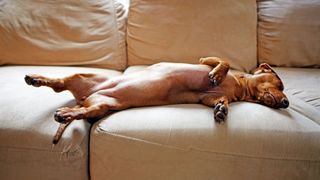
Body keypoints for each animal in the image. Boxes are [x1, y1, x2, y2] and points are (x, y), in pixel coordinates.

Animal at [25, 57, 288, 144]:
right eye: (281, 84)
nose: (286, 103)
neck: (240, 87)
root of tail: (84, 97)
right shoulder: (206, 62)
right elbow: (221, 61)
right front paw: (217, 74)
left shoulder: (208, 97)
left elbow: (219, 99)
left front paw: (222, 109)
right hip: (82, 76)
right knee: (59, 82)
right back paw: (36, 79)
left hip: (101, 105)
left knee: (75, 106)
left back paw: (65, 113)